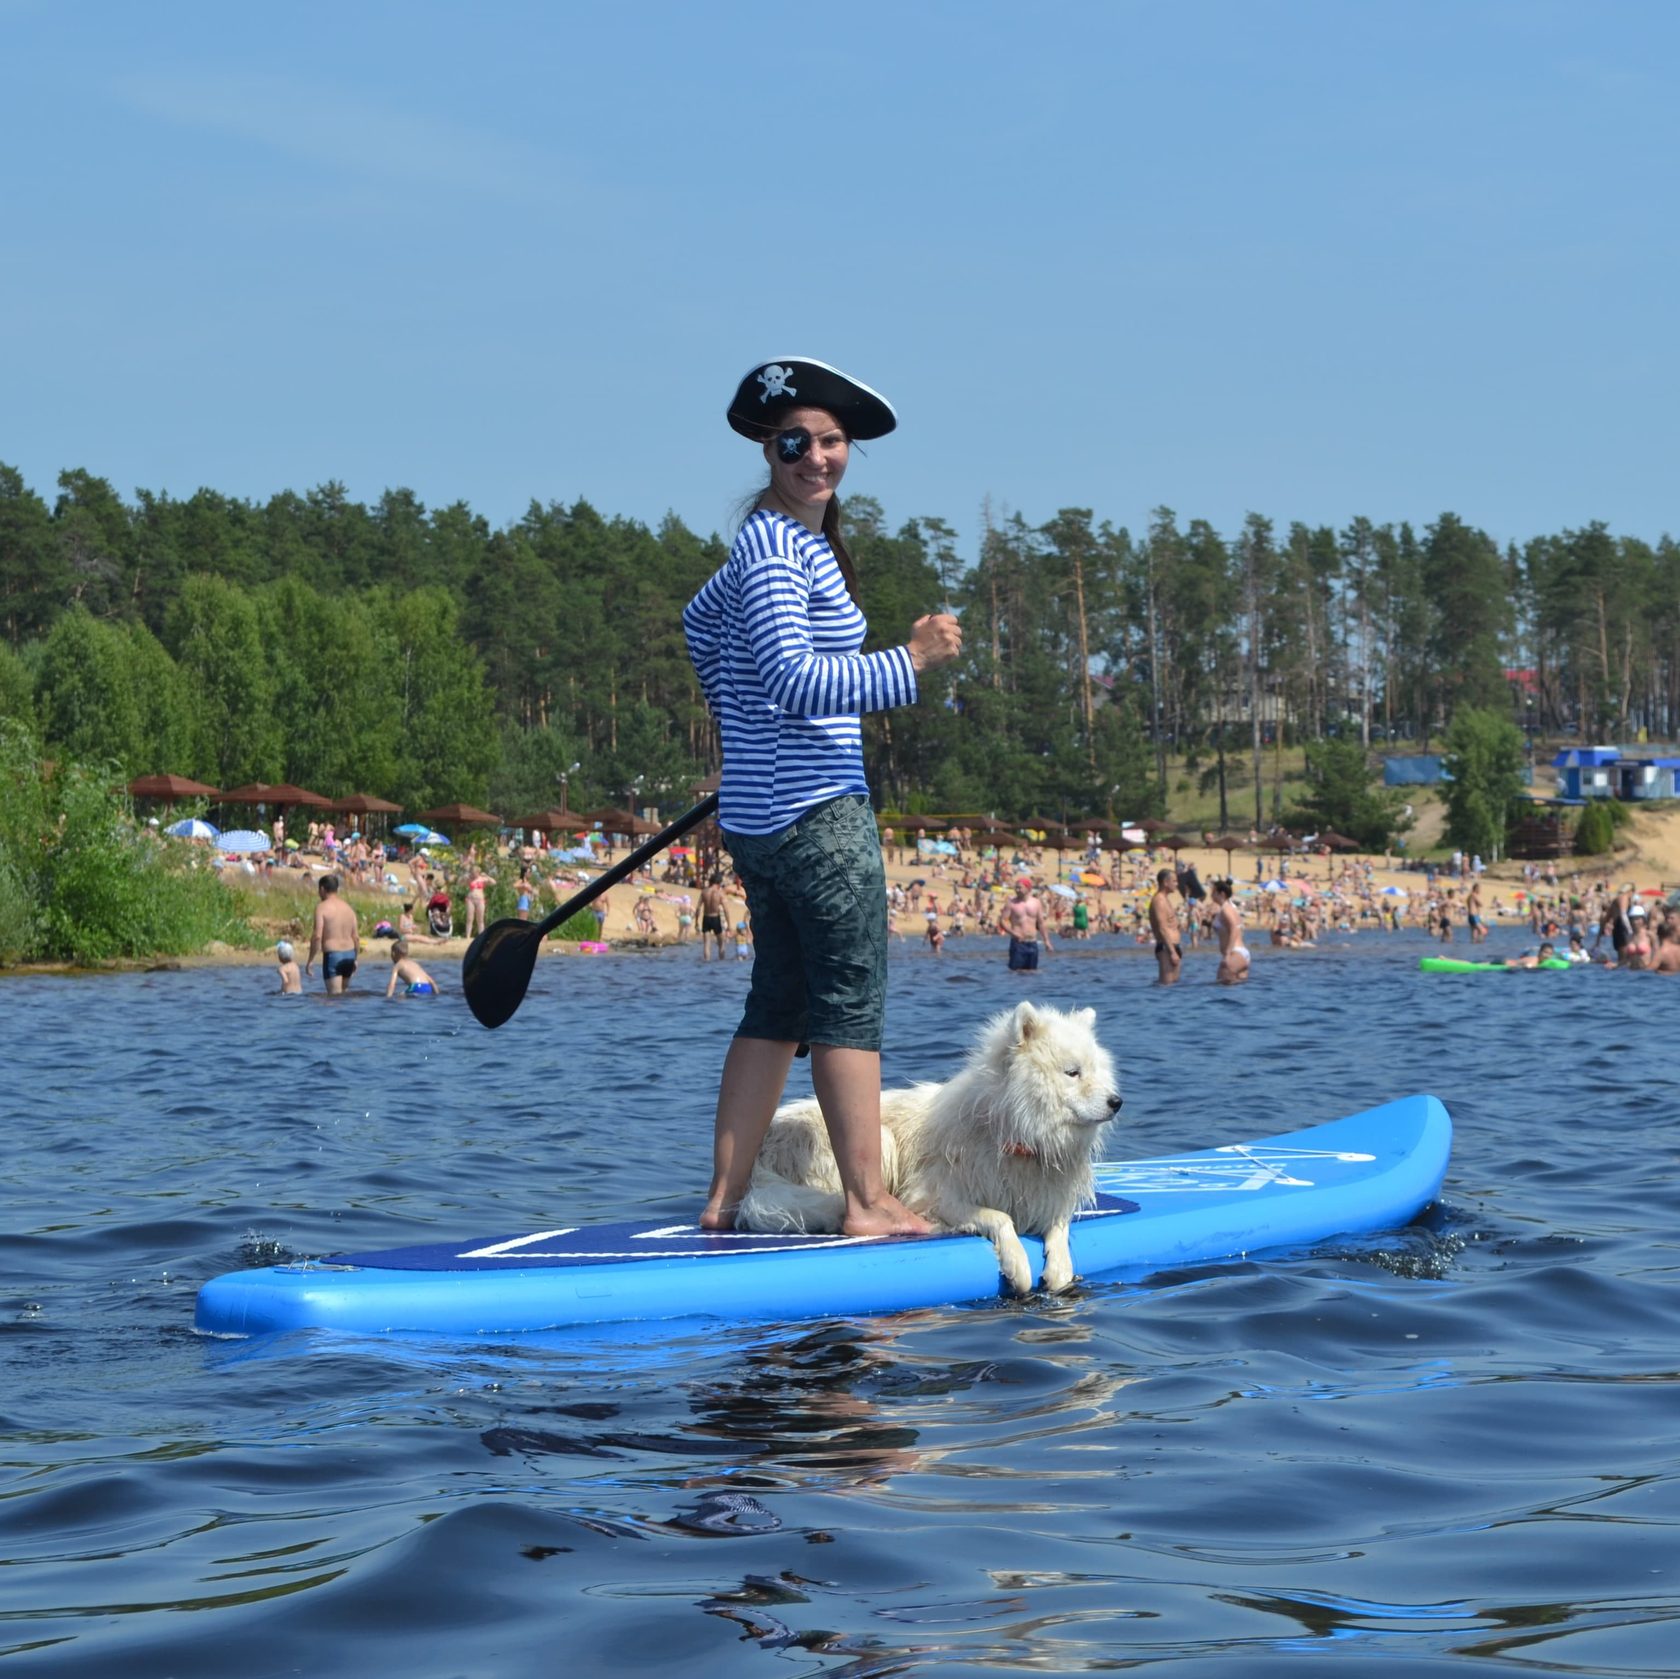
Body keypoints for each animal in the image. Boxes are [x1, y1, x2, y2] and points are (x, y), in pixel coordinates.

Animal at [739, 1001, 1122, 1290]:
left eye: (1097, 1071)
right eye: (1072, 1073)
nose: (1117, 1102)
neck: (1015, 1130)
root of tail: (758, 1157)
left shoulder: (1047, 1197)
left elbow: (1059, 1229)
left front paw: (1059, 1269)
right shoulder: (935, 1194)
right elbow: (1000, 1217)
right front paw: (1018, 1266)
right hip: (879, 1140)